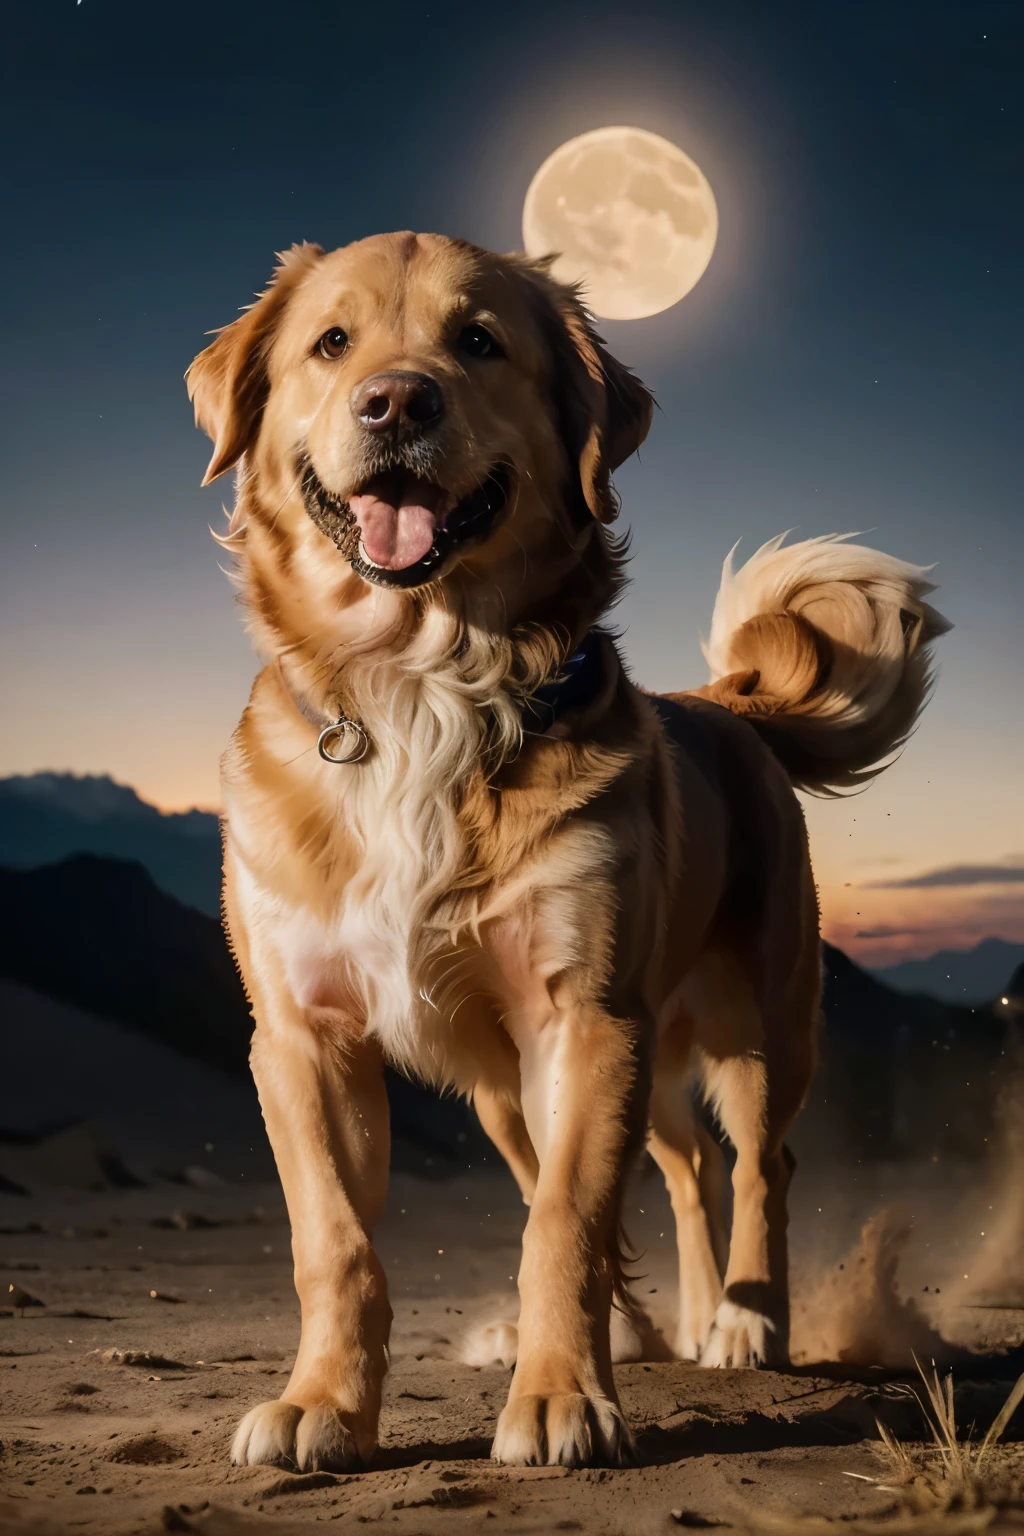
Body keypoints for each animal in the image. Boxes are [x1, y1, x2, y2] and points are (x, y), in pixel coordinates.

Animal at [188, 230, 951, 1474]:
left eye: (478, 341)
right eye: (332, 341)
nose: (395, 401)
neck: (418, 694)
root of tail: (723, 706)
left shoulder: (586, 1016)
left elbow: (565, 1225)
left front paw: (559, 1397)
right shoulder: (306, 1037)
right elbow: (337, 1240)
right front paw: (322, 1404)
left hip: (756, 1023)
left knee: (757, 1164)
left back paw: (744, 1319)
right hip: (511, 1085)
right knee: (679, 1170)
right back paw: (663, 1321)